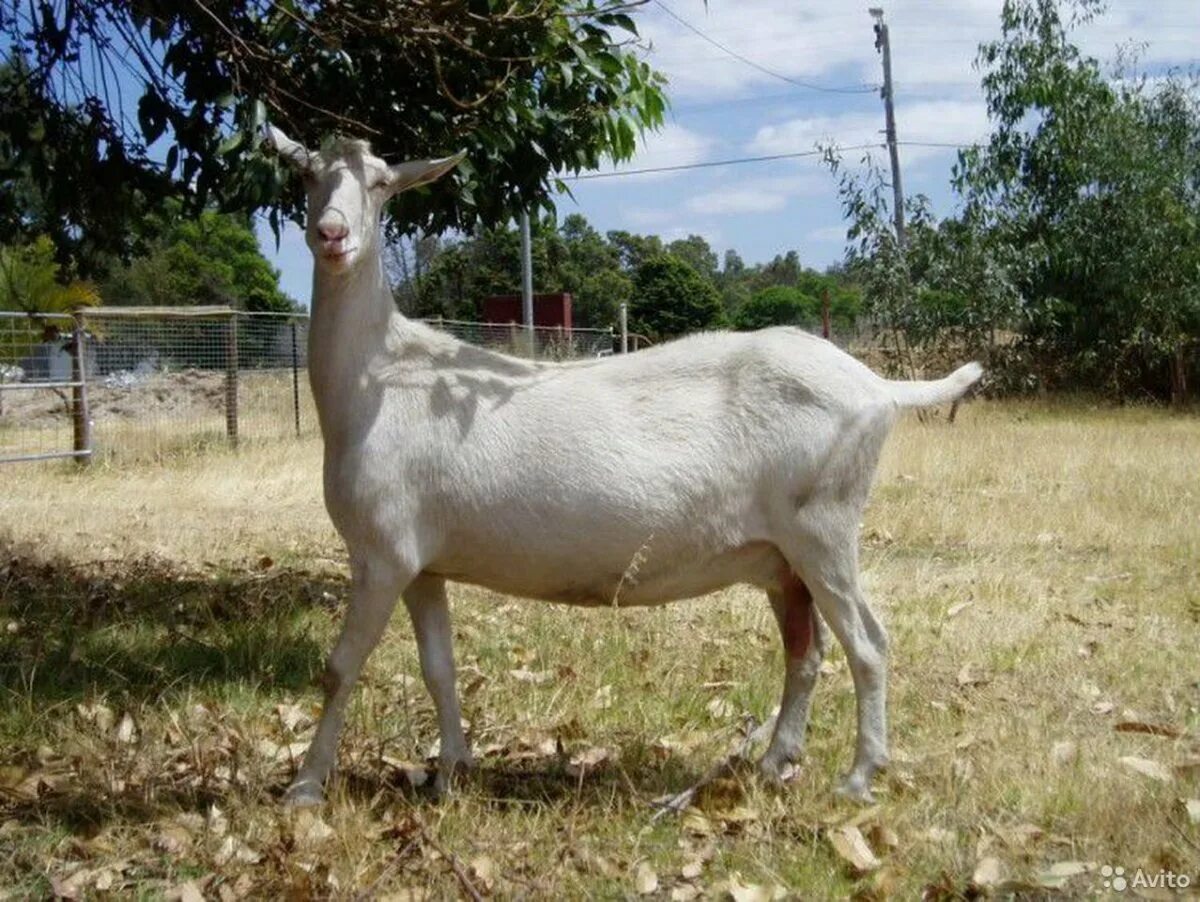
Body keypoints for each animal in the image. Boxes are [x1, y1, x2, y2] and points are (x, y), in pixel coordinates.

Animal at [267, 125, 979, 801]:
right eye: (304, 173)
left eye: (382, 183)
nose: (331, 234)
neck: (381, 378)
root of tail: (877, 388)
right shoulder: (422, 563)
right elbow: (439, 669)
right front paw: (450, 776)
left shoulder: (380, 552)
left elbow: (339, 668)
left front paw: (305, 788)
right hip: (784, 559)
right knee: (805, 651)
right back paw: (776, 762)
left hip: (824, 528)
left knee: (869, 644)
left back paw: (860, 776)